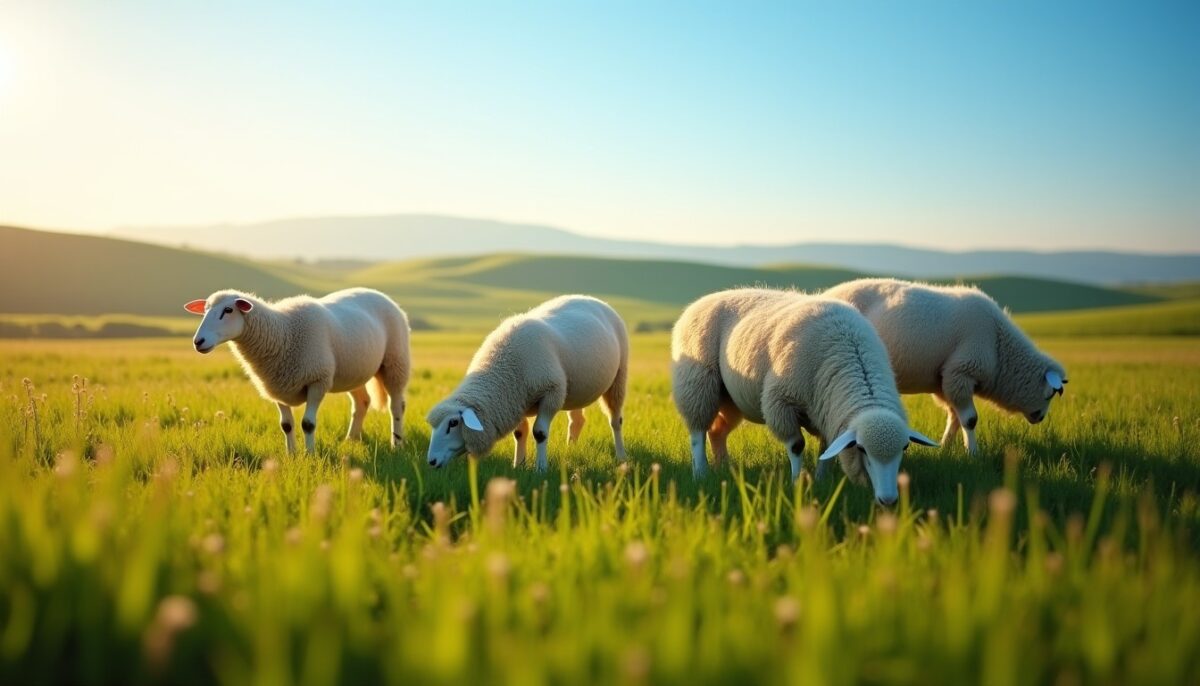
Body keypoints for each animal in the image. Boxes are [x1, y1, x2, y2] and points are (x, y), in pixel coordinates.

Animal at [184, 288, 410, 454]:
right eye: (204, 311)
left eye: (228, 311)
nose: (198, 342)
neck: (283, 332)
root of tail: (378, 292)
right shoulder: (276, 386)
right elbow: (287, 425)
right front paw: (291, 455)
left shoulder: (318, 380)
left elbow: (308, 424)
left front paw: (310, 455)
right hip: (354, 371)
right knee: (362, 402)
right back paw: (351, 440)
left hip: (395, 362)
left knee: (396, 406)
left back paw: (397, 444)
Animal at [425, 295, 629, 471]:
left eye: (453, 423)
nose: (431, 461)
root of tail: (592, 298)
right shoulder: (517, 400)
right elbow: (519, 433)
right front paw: (519, 465)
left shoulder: (551, 392)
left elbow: (539, 433)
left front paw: (541, 468)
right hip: (576, 390)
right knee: (577, 421)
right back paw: (570, 449)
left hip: (619, 377)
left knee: (615, 420)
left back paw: (621, 456)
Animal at [671, 288, 936, 505]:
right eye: (861, 449)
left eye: (904, 448)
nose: (888, 500)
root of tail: (701, 300)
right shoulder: (782, 403)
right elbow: (797, 446)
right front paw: (797, 482)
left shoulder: (827, 411)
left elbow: (827, 449)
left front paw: (821, 479)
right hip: (697, 383)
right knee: (697, 432)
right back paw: (701, 472)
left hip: (730, 399)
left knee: (717, 431)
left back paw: (723, 468)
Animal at [823, 278, 1068, 454]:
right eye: (1049, 394)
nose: (1040, 418)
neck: (1000, 350)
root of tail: (824, 294)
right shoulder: (961, 372)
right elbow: (970, 420)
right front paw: (973, 453)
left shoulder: (946, 381)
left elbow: (955, 418)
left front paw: (945, 447)